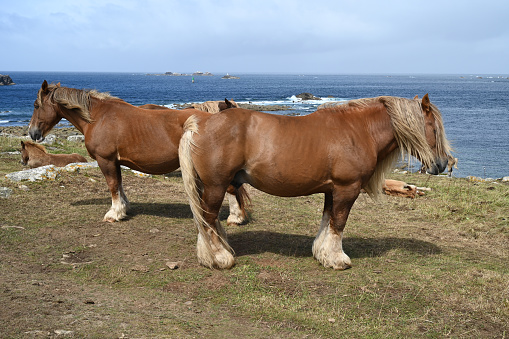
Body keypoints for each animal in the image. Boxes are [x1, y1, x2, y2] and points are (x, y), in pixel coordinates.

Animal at [28, 81, 249, 224]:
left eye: (36, 105)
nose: (32, 133)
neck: (99, 117)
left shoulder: (105, 160)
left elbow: (112, 185)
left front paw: (114, 213)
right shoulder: (115, 161)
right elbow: (119, 184)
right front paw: (123, 208)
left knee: (231, 188)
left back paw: (235, 217)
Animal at [181, 94, 450, 270]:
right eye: (434, 129)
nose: (443, 164)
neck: (358, 130)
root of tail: (202, 123)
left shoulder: (332, 189)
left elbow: (327, 220)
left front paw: (322, 254)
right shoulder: (347, 188)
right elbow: (338, 223)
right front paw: (338, 259)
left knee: (208, 220)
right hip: (216, 185)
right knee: (208, 219)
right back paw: (219, 258)